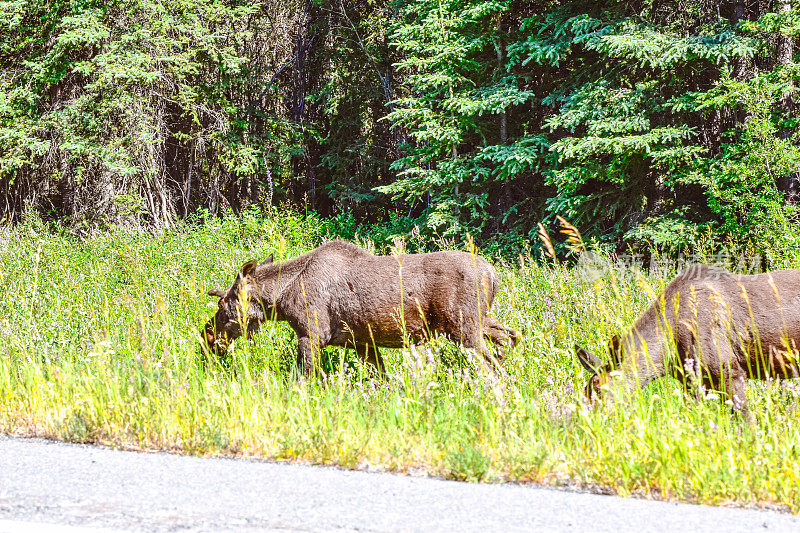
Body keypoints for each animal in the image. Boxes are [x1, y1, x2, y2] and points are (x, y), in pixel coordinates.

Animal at [203, 239, 520, 372]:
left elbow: (301, 378)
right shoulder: (362, 342)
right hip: (481, 321)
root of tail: (494, 275)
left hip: (463, 328)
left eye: (222, 302)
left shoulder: (311, 334)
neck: (279, 300)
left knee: (493, 367)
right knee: (512, 337)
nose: (207, 333)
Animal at [580, 264, 800, 414]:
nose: (588, 421)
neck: (667, 356)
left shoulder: (729, 370)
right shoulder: (692, 382)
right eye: (585, 391)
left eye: (599, 388)